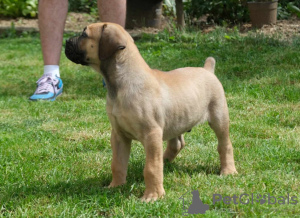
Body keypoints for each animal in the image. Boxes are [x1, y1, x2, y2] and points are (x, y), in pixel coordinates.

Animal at [65, 22, 237, 203]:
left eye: (84, 35)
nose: (66, 42)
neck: (121, 83)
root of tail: (207, 69)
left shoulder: (151, 133)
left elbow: (151, 168)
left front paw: (153, 196)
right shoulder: (119, 135)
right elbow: (117, 164)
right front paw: (116, 186)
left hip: (219, 117)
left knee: (225, 145)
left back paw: (228, 170)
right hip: (175, 120)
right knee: (177, 144)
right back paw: (165, 161)